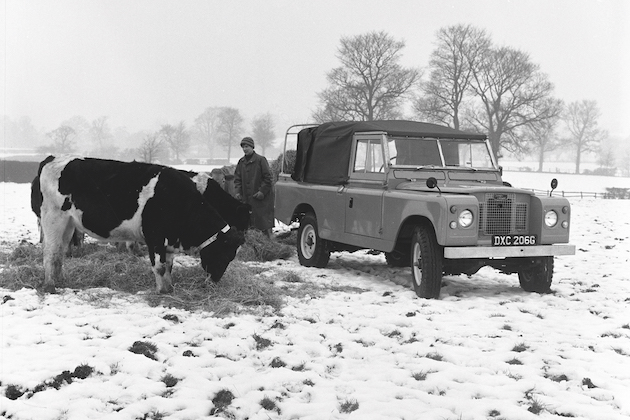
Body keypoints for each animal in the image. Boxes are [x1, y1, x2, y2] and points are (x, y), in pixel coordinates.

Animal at [35, 156, 246, 294]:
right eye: (224, 253)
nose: (215, 280)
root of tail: (52, 160)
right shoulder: (155, 237)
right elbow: (159, 266)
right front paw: (162, 291)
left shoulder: (168, 240)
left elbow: (169, 265)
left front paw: (169, 288)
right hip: (53, 218)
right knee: (50, 252)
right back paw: (49, 286)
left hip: (69, 224)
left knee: (60, 252)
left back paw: (60, 280)